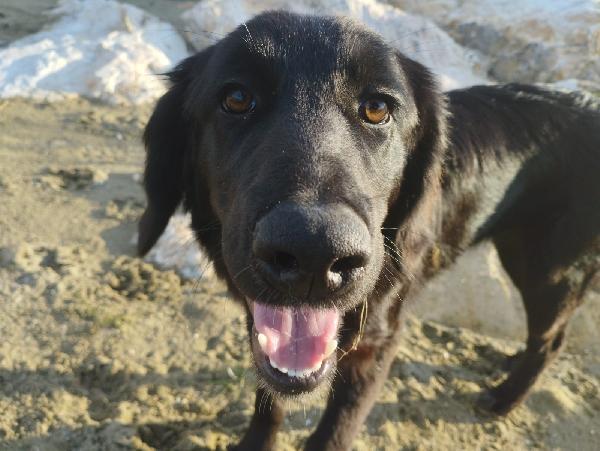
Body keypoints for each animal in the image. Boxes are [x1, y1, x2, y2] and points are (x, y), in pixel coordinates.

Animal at [137, 10, 600, 451]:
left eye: (378, 108)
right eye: (236, 98)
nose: (314, 251)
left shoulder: (376, 344)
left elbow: (335, 430)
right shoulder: (264, 327)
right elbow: (269, 398)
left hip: (547, 269)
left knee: (552, 339)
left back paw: (504, 397)